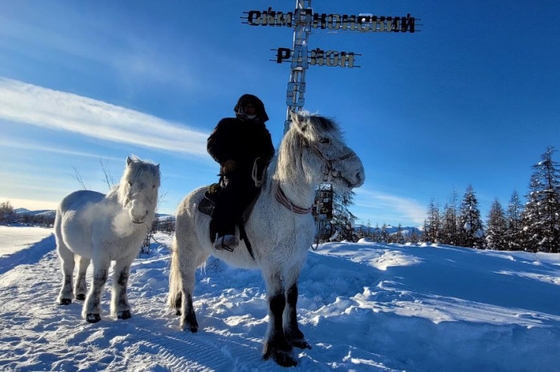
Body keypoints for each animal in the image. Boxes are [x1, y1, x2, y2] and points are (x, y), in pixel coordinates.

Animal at [55, 156, 161, 322]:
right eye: (130, 182)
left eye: (154, 185)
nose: (138, 213)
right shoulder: (102, 254)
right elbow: (100, 279)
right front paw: (92, 313)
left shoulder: (127, 257)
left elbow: (122, 280)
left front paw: (122, 310)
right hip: (63, 246)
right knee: (68, 268)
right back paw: (65, 297)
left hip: (85, 252)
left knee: (82, 267)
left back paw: (80, 294)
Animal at [168, 112, 366, 366]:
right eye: (324, 140)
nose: (360, 173)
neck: (289, 210)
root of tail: (185, 201)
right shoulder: (273, 265)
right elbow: (277, 302)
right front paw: (279, 348)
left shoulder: (295, 262)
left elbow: (292, 297)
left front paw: (296, 336)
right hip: (188, 251)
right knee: (187, 284)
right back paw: (189, 321)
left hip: (202, 252)